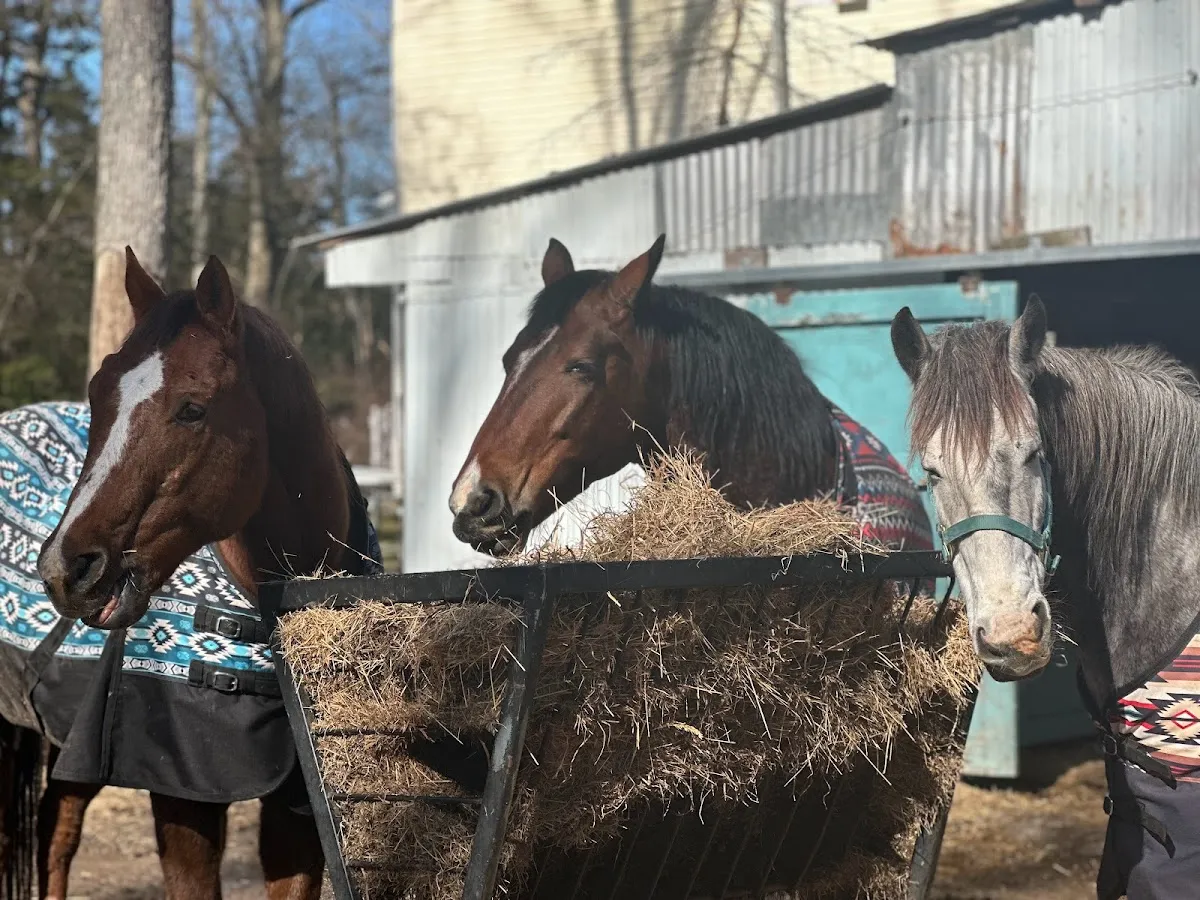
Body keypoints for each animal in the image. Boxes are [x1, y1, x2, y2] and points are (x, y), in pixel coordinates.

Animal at [0, 249, 382, 900]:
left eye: (193, 408)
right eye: (99, 394)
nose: (65, 567)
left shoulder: (298, 813)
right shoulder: (183, 800)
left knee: (56, 834)